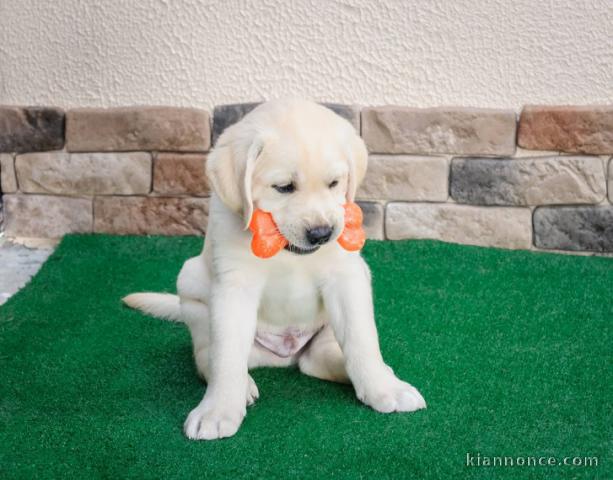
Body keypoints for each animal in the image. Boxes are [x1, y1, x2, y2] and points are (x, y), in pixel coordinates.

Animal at [122, 99, 424, 440]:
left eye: (334, 184)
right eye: (284, 187)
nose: (322, 234)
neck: (287, 251)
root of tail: (285, 354)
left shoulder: (347, 277)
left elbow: (362, 339)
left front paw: (384, 388)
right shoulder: (234, 287)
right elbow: (227, 356)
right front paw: (217, 411)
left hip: (323, 333)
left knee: (319, 359)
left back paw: (373, 372)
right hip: (192, 293)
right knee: (209, 358)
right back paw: (243, 387)